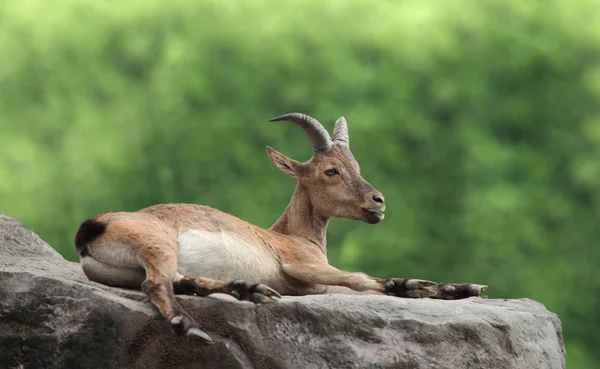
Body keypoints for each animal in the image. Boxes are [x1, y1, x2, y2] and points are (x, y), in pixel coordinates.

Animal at [75, 112, 488, 342]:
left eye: (355, 164)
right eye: (331, 170)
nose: (378, 202)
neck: (290, 235)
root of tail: (93, 230)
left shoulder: (317, 285)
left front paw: (464, 287)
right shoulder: (302, 266)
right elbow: (362, 279)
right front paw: (422, 286)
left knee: (179, 280)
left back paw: (249, 290)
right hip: (157, 241)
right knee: (157, 284)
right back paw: (192, 325)